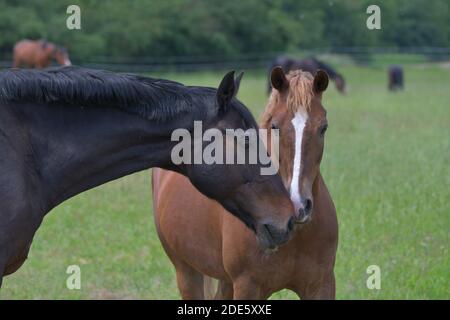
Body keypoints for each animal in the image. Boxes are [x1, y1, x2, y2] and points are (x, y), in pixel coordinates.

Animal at [153, 68, 340, 300]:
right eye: (275, 126)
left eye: (323, 128)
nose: (298, 205)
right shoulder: (247, 286)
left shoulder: (321, 285)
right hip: (187, 273)